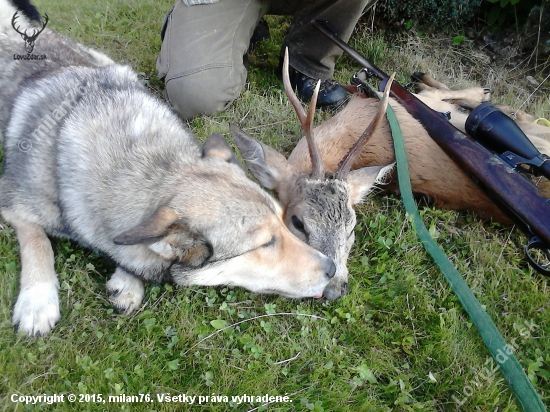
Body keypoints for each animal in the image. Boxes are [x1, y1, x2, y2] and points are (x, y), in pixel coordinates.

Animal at [0, 0, 336, 334]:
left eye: (287, 221)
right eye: (265, 243)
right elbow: (37, 241)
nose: (333, 268)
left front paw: (127, 280)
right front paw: (37, 300)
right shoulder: (12, 203)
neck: (150, 163)